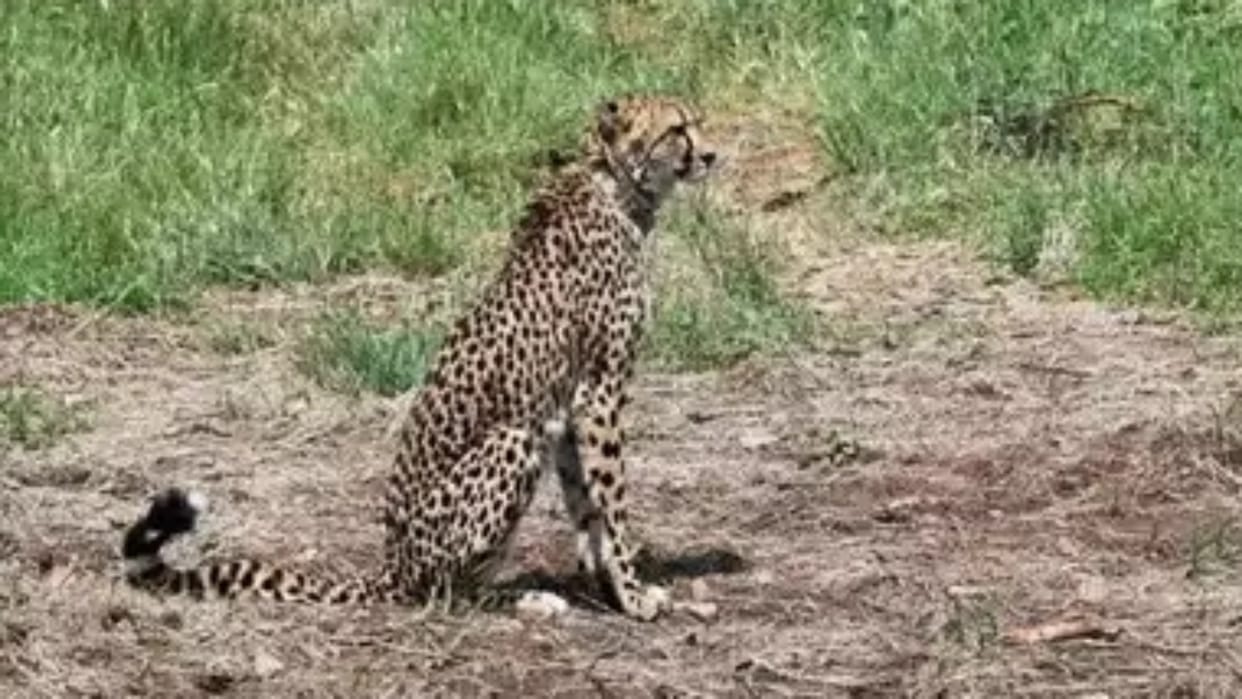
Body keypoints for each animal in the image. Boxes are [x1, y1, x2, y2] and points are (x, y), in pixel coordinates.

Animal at [121, 94, 718, 621]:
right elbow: (612, 504)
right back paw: (525, 600)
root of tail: (393, 566)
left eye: (695, 122)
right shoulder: (601, 391)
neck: (614, 185)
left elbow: (587, 506)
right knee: (444, 591)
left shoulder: (572, 406)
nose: (712, 154)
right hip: (512, 439)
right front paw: (633, 596)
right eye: (677, 129)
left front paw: (606, 586)